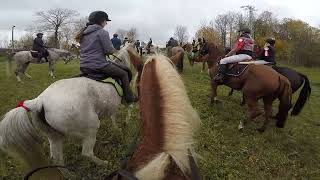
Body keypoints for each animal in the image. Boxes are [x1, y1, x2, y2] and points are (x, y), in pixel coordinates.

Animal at [0, 43, 139, 173]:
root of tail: (40, 100)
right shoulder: (123, 101)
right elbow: (128, 108)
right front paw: (125, 123)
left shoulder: (112, 105)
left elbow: (113, 116)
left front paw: (117, 128)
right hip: (91, 128)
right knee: (87, 153)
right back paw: (104, 163)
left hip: (54, 136)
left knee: (57, 159)